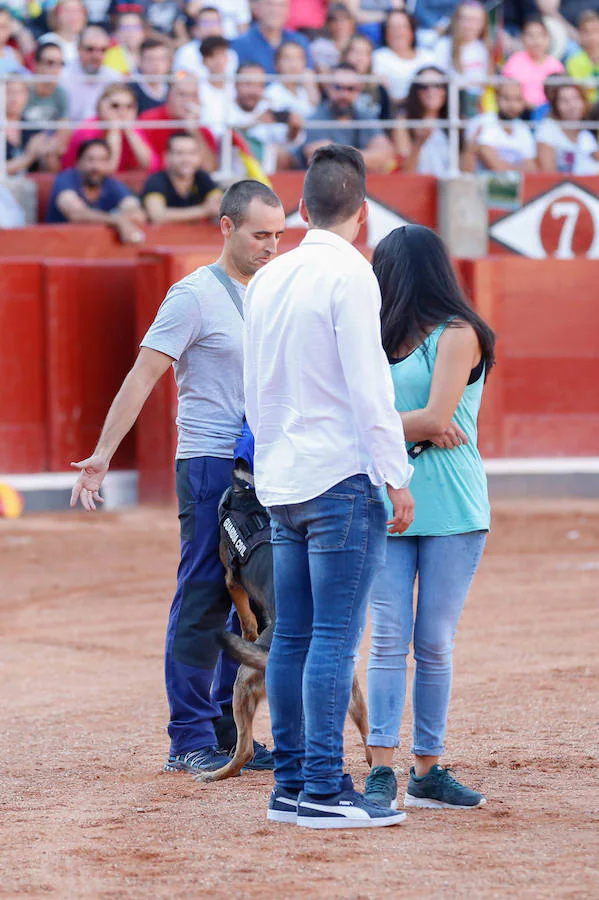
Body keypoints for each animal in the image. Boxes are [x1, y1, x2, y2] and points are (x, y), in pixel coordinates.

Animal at [197, 464, 372, 780]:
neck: (249, 493)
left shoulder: (231, 581)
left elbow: (246, 618)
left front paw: (249, 633)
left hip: (243, 684)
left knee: (244, 751)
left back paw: (217, 774)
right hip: (351, 693)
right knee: (369, 737)